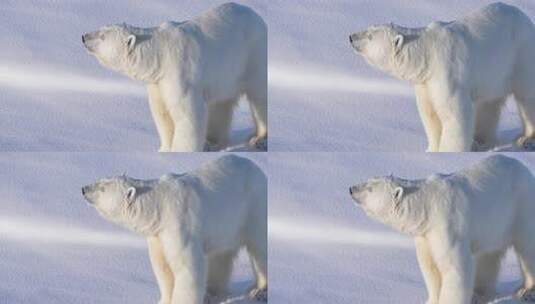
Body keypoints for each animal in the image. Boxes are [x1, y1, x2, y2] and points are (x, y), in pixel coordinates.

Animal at [81, 156, 268, 302]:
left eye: (102, 188)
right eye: (100, 180)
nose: (83, 189)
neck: (160, 205)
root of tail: (260, 171)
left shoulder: (179, 224)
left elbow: (186, 268)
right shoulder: (158, 234)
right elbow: (162, 267)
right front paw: (163, 300)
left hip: (253, 207)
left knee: (258, 248)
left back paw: (258, 290)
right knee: (220, 254)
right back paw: (212, 292)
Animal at [82, 2, 266, 152]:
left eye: (102, 37)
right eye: (100, 28)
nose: (83, 37)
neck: (160, 54)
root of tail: (257, 16)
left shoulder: (180, 73)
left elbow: (188, 115)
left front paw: (180, 151)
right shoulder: (158, 82)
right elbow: (162, 114)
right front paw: (164, 149)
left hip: (252, 56)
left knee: (258, 97)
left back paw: (259, 139)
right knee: (221, 104)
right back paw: (212, 142)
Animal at [350, 3, 535, 152]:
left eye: (370, 36)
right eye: (368, 28)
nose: (351, 37)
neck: (428, 54)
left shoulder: (447, 72)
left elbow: (454, 114)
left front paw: (448, 152)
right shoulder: (425, 83)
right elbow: (430, 114)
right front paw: (432, 149)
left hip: (521, 55)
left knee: (526, 97)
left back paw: (525, 139)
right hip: (495, 72)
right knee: (488, 104)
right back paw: (479, 141)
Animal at [350, 156, 535, 302]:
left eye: (370, 189)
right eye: (368, 180)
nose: (351, 189)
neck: (428, 206)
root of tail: (527, 171)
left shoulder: (447, 225)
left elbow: (454, 267)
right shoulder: (425, 235)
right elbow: (430, 267)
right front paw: (431, 300)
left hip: (521, 207)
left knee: (527, 248)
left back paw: (525, 290)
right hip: (495, 223)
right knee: (488, 255)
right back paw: (479, 294)